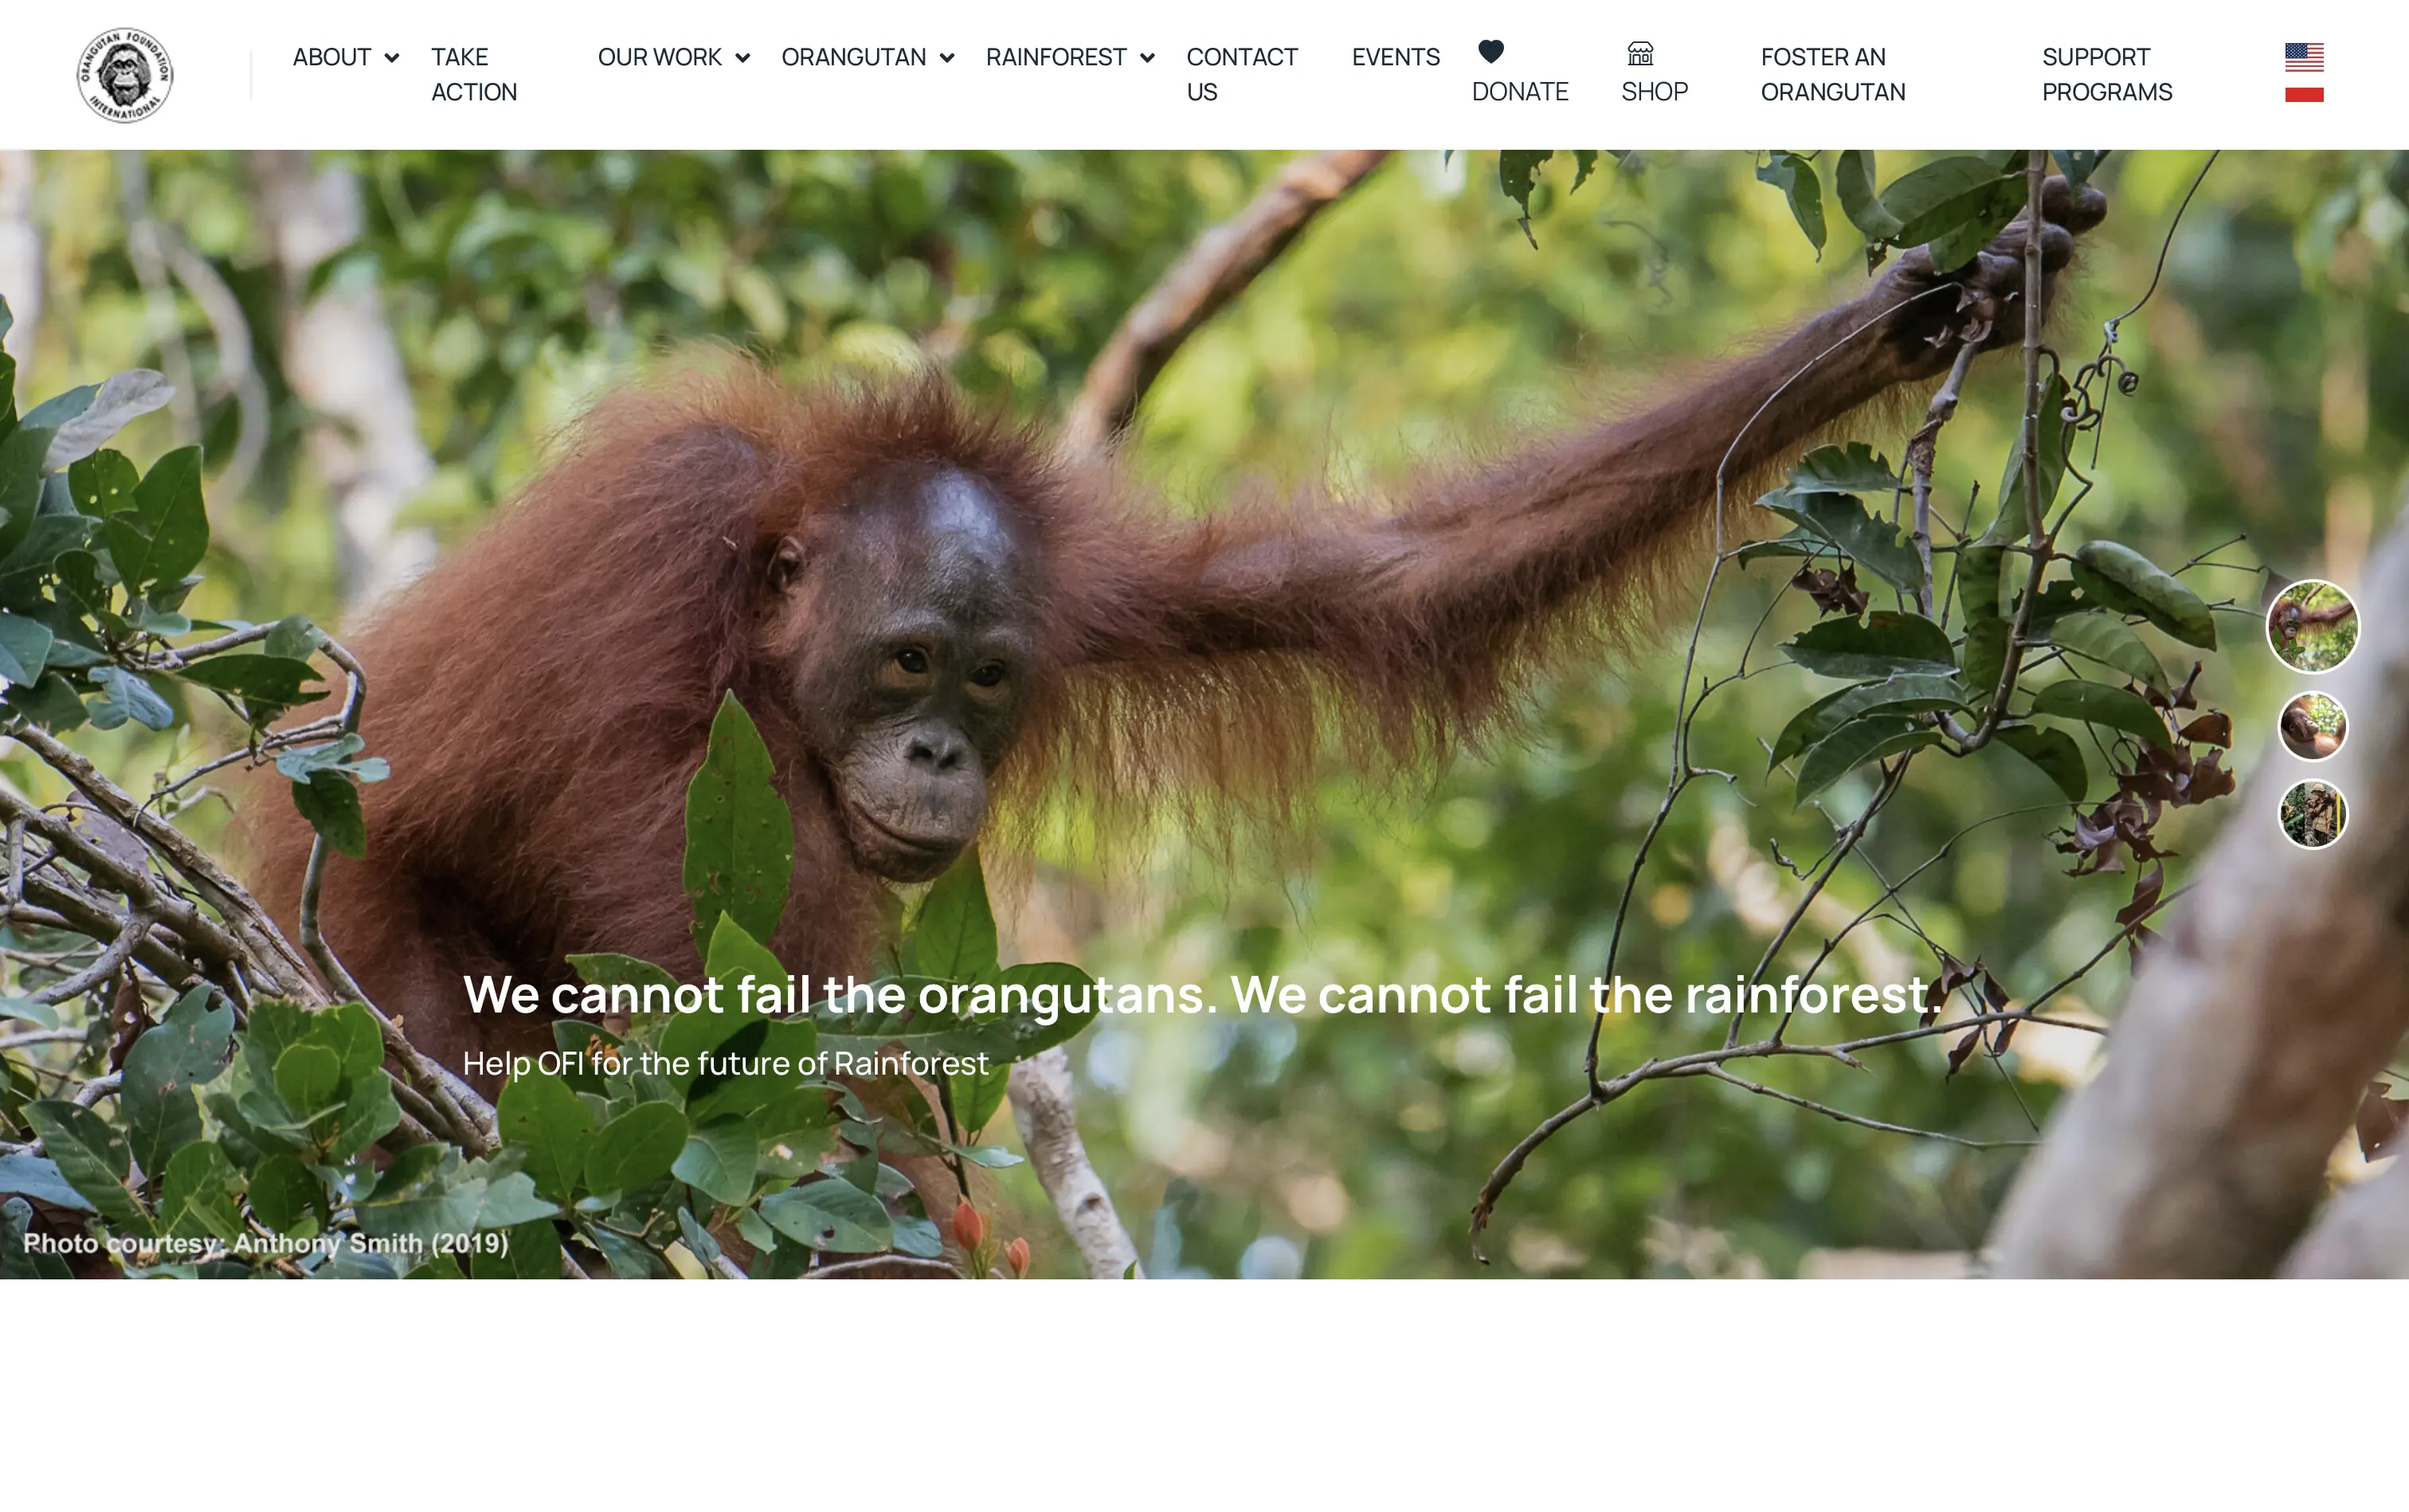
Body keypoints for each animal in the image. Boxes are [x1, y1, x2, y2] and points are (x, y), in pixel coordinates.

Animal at [244, 178, 2109, 1098]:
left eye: (987, 679)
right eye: (905, 664)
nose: (938, 750)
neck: (765, 592)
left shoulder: (1086, 580)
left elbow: (1377, 579)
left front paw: (1914, 315)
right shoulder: (653, 633)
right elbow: (716, 1015)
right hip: (359, 950)